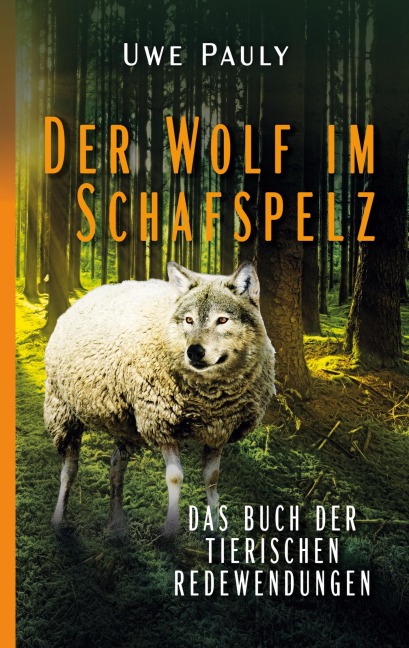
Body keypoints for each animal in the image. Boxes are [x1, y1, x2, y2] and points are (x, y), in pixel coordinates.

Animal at [44, 261, 276, 536]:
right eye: (188, 319)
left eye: (222, 320)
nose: (194, 351)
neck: (209, 398)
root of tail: (88, 295)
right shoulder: (161, 423)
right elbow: (175, 477)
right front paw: (170, 530)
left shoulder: (219, 430)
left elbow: (212, 479)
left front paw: (216, 528)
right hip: (62, 410)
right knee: (69, 469)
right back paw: (59, 519)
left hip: (125, 424)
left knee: (116, 466)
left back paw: (116, 523)